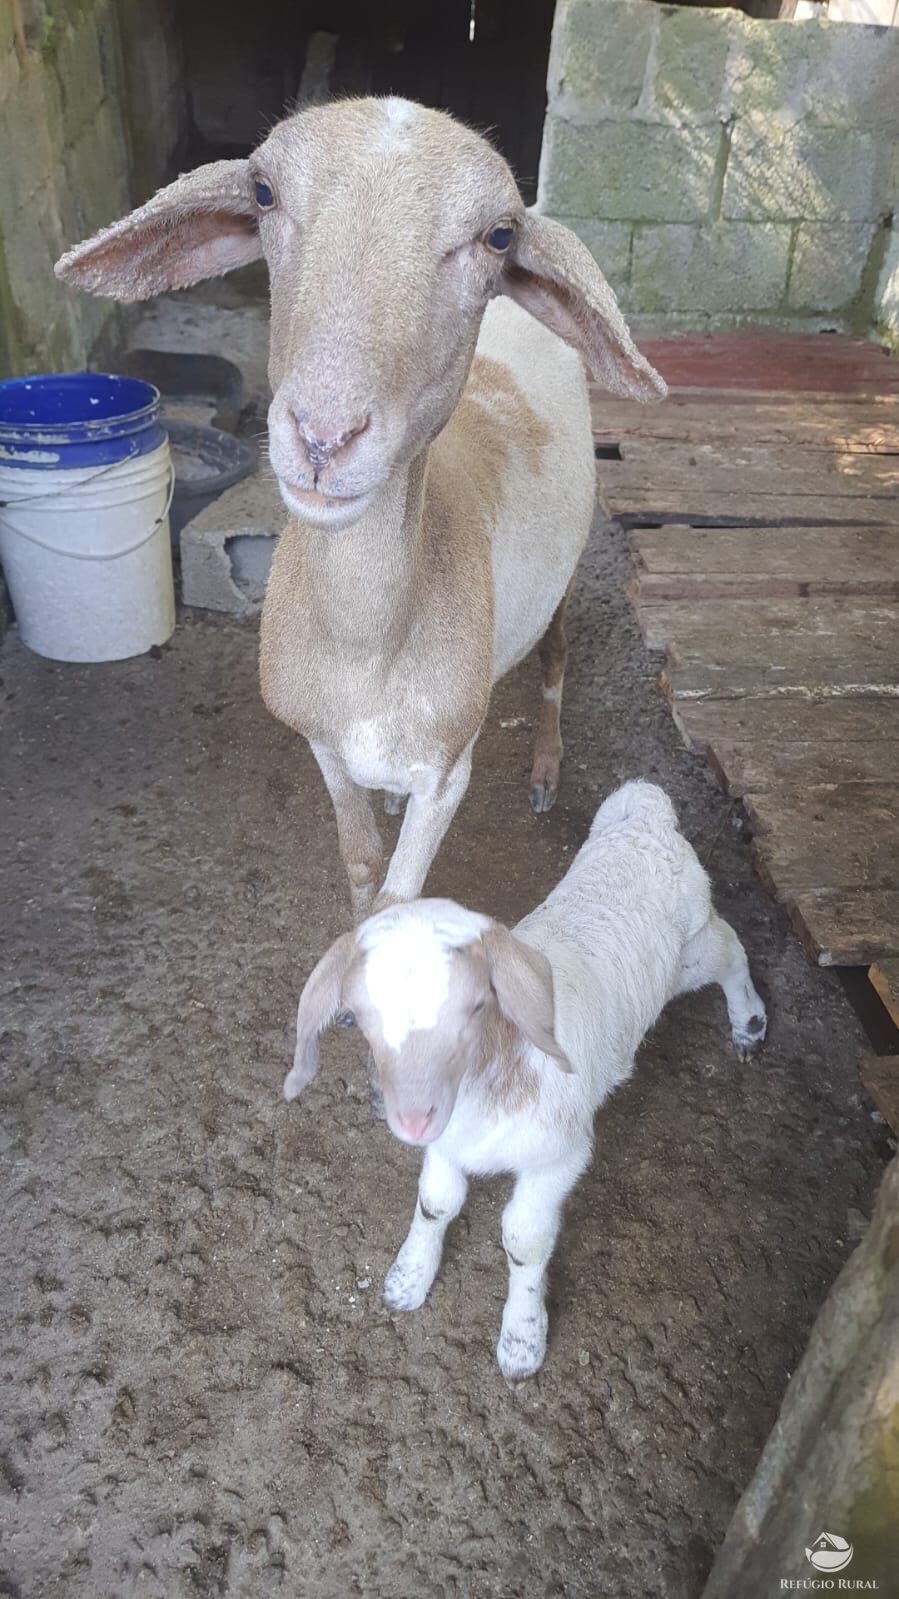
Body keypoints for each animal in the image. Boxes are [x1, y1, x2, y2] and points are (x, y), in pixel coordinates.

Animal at [52, 99, 662, 921]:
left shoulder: (448, 769)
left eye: (499, 236)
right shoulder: (323, 746)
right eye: (263, 192)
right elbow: (362, 861)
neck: (366, 649)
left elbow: (399, 900)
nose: (323, 435)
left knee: (556, 658)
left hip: (562, 578)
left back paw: (544, 767)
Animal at [279, 780, 761, 1381]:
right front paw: (407, 1280)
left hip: (690, 953)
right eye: (361, 1015)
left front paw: (521, 1340)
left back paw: (750, 1022)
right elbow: (435, 1204)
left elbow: (523, 1240)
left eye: (474, 1005)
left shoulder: (559, 1158)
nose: (411, 1117)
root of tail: (642, 809)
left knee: (731, 946)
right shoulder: (447, 1145)